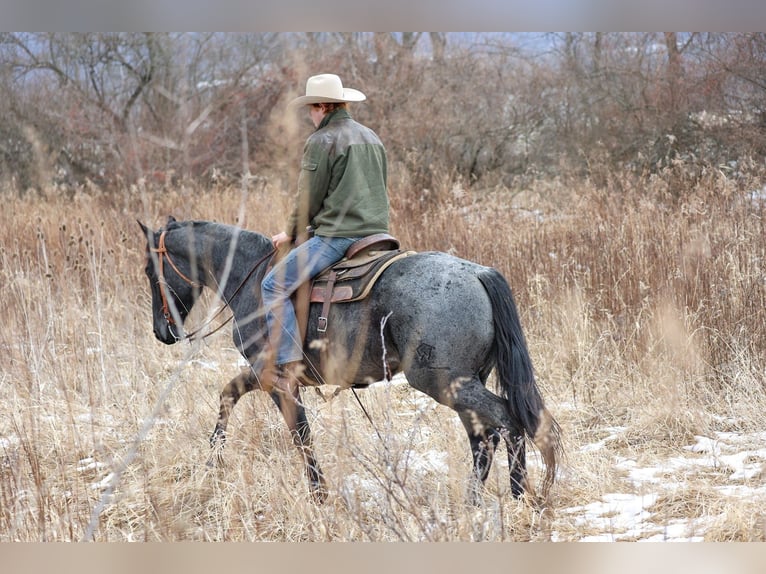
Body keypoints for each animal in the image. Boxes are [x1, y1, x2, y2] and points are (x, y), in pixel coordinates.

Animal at [138, 216, 561, 505]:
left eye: (148, 270)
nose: (161, 332)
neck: (251, 276)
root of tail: (479, 273)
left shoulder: (275, 378)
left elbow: (299, 434)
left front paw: (318, 494)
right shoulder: (267, 377)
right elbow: (230, 395)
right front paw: (213, 460)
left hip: (445, 383)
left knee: (508, 423)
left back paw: (519, 496)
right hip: (465, 384)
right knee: (484, 438)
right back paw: (475, 501)